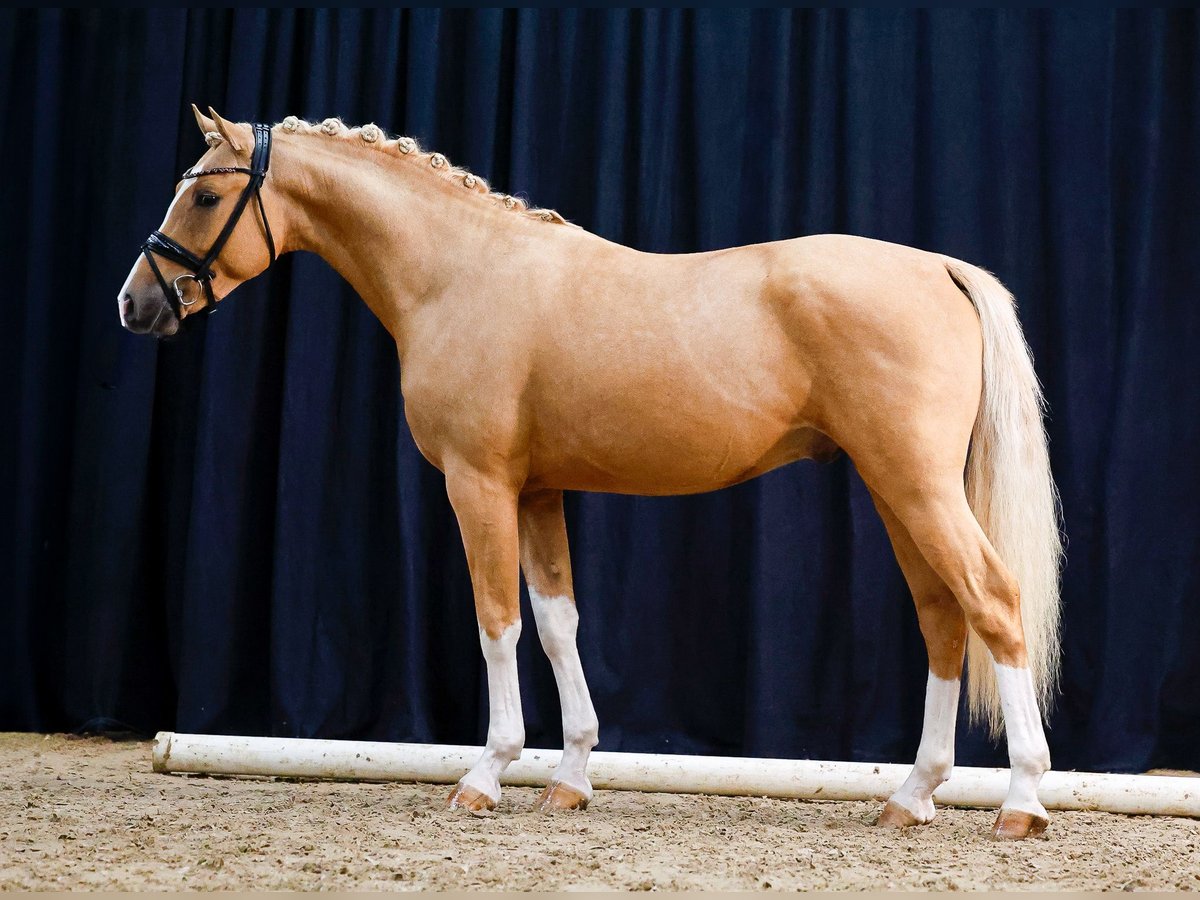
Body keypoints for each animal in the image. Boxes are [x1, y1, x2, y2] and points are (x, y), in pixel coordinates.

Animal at [119, 109, 1060, 844]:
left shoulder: (479, 486)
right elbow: (558, 622)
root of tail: (938, 267)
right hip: (897, 491)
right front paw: (569, 778)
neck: (461, 273)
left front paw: (486, 776)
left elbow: (497, 623)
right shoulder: (539, 492)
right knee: (942, 617)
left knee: (993, 600)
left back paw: (1021, 800)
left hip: (916, 486)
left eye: (205, 196)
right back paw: (913, 795)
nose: (136, 303)